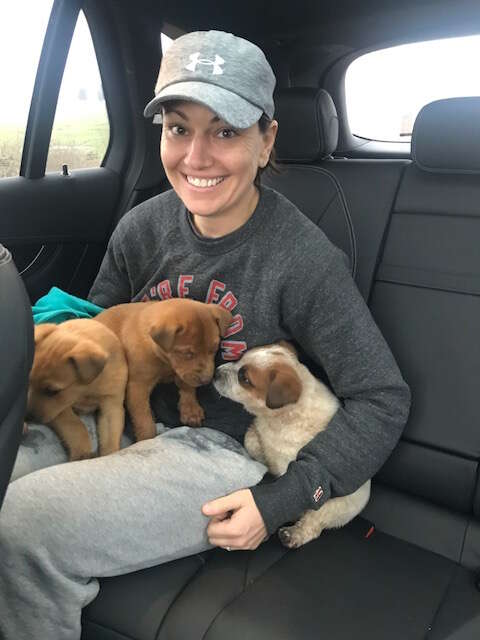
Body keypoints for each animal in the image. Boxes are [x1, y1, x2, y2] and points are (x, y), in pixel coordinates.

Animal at [27, 318, 128, 460]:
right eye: (28, 382)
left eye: (52, 391)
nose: (27, 417)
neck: (87, 389)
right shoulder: (61, 409)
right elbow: (76, 425)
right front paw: (82, 453)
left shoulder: (112, 406)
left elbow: (110, 436)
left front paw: (109, 454)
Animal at [94, 298, 232, 440]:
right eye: (187, 354)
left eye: (214, 350)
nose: (207, 380)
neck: (165, 361)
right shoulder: (137, 386)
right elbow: (143, 418)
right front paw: (146, 437)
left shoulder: (181, 371)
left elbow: (187, 385)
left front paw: (191, 410)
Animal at [214, 342, 372, 548]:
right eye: (240, 358)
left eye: (244, 378)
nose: (215, 372)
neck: (279, 418)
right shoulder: (259, 432)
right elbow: (252, 439)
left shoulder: (288, 466)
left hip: (327, 507)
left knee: (312, 525)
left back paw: (293, 534)